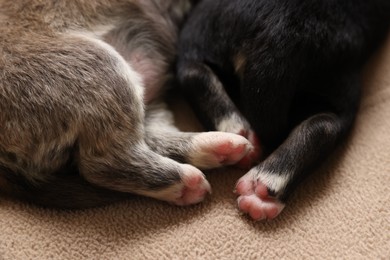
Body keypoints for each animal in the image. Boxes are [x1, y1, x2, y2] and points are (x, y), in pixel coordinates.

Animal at [0, 0, 253, 207]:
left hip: (141, 98)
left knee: (151, 138)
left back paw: (215, 147)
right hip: (98, 68)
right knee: (104, 164)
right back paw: (185, 183)